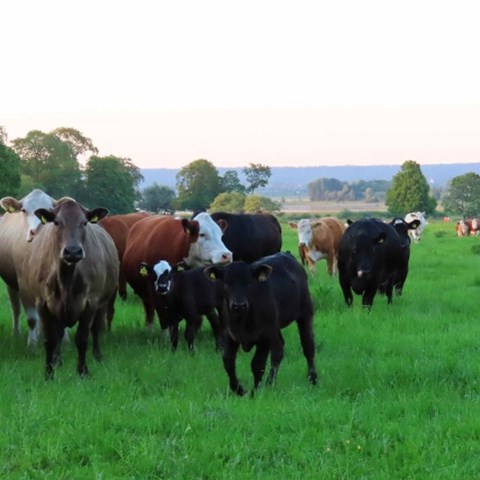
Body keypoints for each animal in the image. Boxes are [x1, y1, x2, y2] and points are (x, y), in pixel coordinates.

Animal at [0, 188, 59, 344]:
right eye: (24, 210)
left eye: (50, 210)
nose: (36, 230)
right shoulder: (23, 285)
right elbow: (32, 318)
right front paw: (32, 344)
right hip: (11, 283)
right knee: (16, 308)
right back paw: (17, 333)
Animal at [17, 199, 119, 378]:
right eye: (57, 222)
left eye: (84, 223)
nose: (72, 251)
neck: (66, 279)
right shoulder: (43, 303)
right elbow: (50, 339)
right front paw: (49, 372)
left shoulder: (90, 303)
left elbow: (82, 338)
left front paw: (82, 371)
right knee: (59, 332)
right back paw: (57, 360)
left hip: (103, 302)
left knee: (96, 328)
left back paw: (97, 356)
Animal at [204, 253, 316, 396]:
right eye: (227, 283)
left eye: (249, 283)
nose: (239, 305)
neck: (243, 321)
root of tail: (287, 254)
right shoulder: (230, 335)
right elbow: (228, 362)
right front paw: (238, 389)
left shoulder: (264, 338)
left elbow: (257, 364)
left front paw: (256, 391)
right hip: (275, 327)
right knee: (279, 348)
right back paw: (271, 382)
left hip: (305, 314)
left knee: (308, 346)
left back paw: (312, 378)